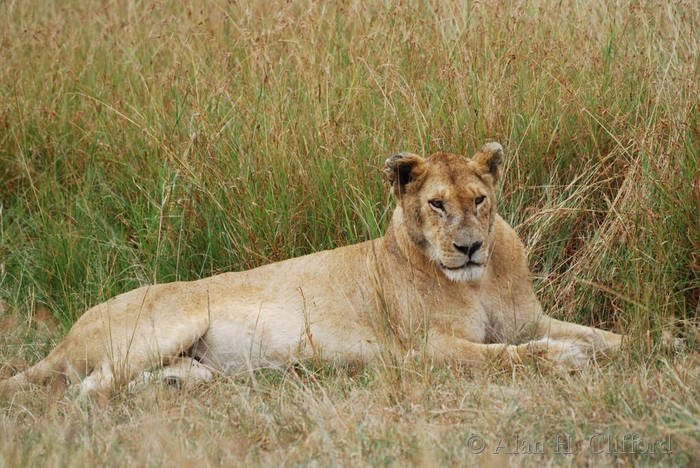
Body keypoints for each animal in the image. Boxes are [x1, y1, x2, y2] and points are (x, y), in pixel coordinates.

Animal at [0, 142, 624, 398]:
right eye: (437, 204)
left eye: (479, 200)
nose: (469, 247)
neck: (480, 281)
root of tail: (67, 333)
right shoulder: (425, 350)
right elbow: (515, 357)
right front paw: (566, 358)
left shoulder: (525, 320)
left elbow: (607, 337)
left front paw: (634, 343)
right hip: (169, 321)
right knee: (90, 388)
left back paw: (179, 383)